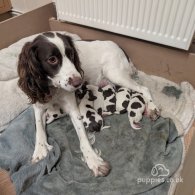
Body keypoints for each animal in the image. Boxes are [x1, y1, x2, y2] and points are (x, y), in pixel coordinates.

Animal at [17, 31, 159, 177]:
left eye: (71, 54)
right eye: (52, 59)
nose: (79, 82)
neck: (53, 88)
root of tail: (120, 47)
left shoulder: (74, 109)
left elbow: (83, 139)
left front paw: (94, 160)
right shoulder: (38, 105)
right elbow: (38, 127)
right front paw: (39, 150)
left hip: (115, 74)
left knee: (144, 89)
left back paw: (152, 109)